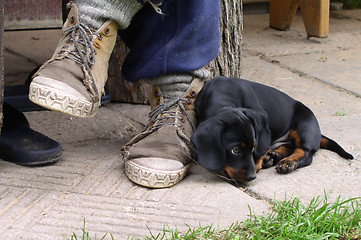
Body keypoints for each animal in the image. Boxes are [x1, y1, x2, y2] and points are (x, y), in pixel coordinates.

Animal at [190, 77, 352, 182]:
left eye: (253, 147)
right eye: (235, 150)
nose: (252, 177)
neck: (223, 93)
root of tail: (318, 132)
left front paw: (258, 162)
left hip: (305, 126)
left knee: (305, 154)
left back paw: (287, 163)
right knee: (288, 147)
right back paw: (273, 156)